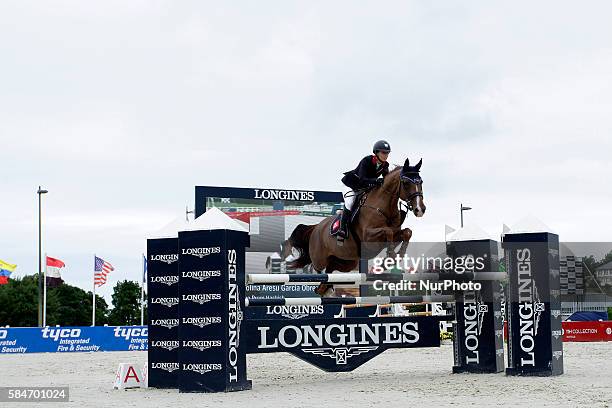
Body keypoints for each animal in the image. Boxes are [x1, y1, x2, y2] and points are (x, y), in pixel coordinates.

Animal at [278, 157, 426, 296]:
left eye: (421, 182)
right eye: (406, 183)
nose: (420, 209)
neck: (383, 207)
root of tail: (316, 227)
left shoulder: (393, 234)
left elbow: (406, 232)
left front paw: (395, 257)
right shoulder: (368, 237)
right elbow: (387, 231)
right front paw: (392, 256)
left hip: (347, 262)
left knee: (330, 270)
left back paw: (325, 289)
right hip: (320, 258)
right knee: (318, 269)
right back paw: (322, 286)